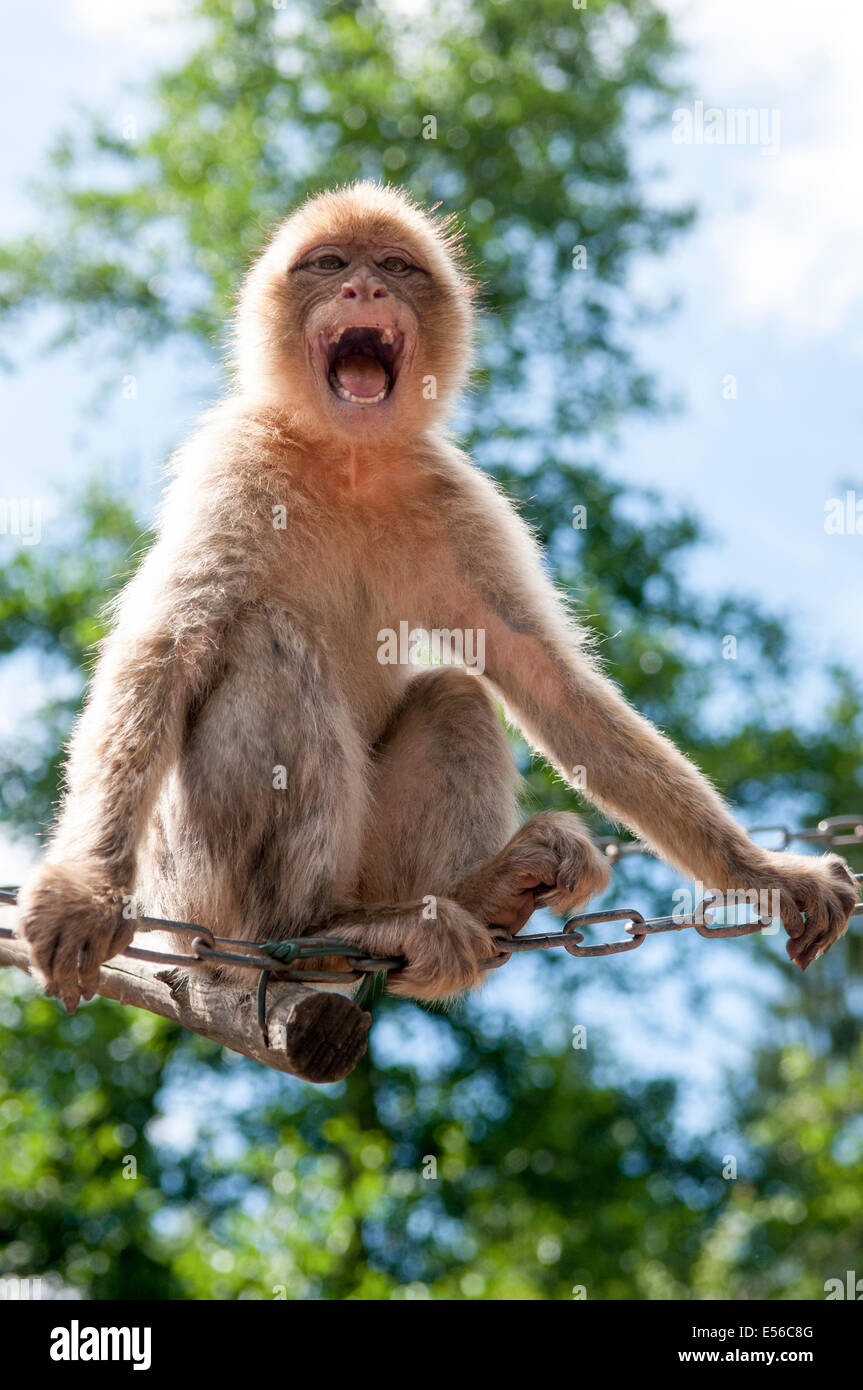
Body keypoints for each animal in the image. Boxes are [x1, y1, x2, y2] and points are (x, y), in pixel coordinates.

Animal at [16, 182, 856, 1011]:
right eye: (328, 263)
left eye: (394, 265)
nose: (363, 288)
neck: (348, 458)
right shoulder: (235, 459)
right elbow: (169, 649)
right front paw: (85, 889)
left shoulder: (451, 497)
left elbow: (545, 679)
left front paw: (765, 873)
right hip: (197, 897)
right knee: (266, 642)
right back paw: (315, 928)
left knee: (453, 694)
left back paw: (474, 895)